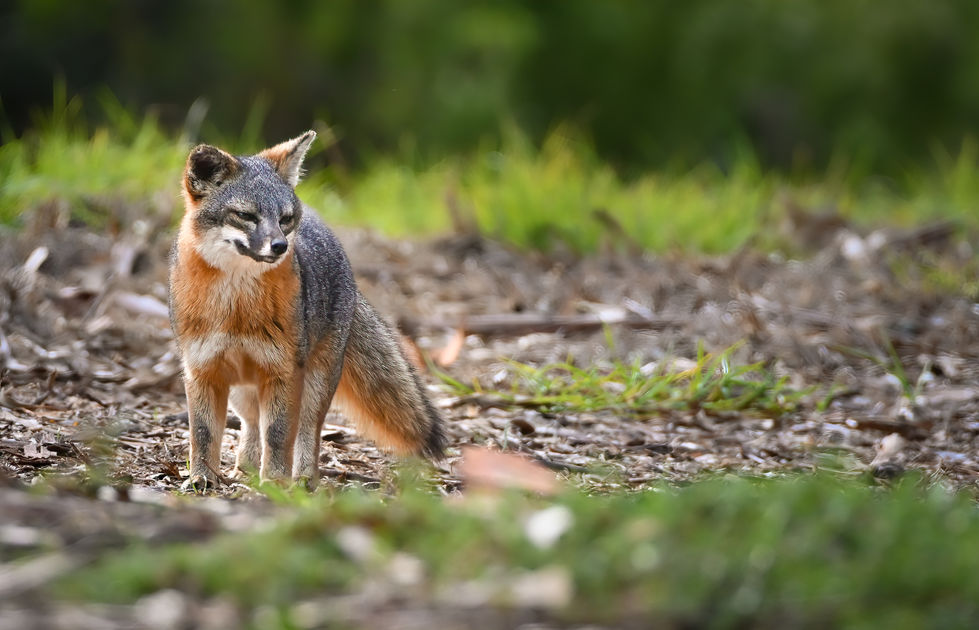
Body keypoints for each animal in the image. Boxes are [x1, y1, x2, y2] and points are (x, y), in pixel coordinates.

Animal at [168, 130, 446, 490]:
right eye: (246, 215)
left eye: (284, 219)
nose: (280, 246)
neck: (237, 309)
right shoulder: (202, 371)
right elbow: (202, 433)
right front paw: (202, 476)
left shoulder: (283, 372)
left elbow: (278, 434)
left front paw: (275, 482)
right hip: (243, 389)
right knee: (251, 423)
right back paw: (245, 468)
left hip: (315, 383)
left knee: (306, 432)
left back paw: (302, 479)